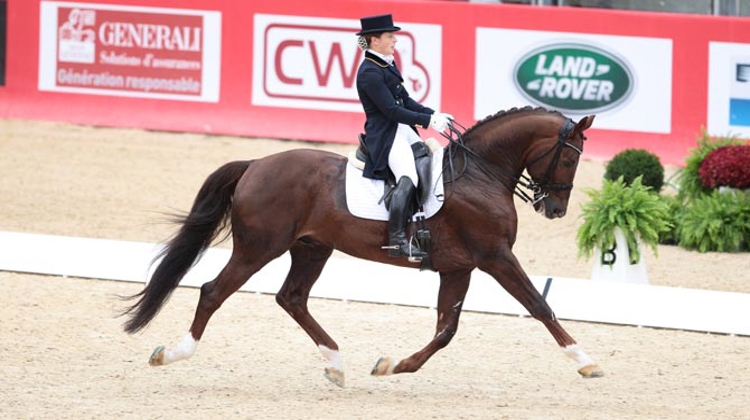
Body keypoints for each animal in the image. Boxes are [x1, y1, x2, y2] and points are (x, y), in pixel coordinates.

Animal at [123, 106, 604, 388]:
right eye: (570, 157)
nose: (555, 209)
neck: (479, 175)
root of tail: (256, 163)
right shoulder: (496, 257)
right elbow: (540, 306)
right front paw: (585, 361)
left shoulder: (459, 267)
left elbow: (445, 329)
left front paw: (393, 365)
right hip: (258, 248)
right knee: (213, 292)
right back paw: (172, 353)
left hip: (311, 248)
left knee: (291, 298)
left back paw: (336, 364)